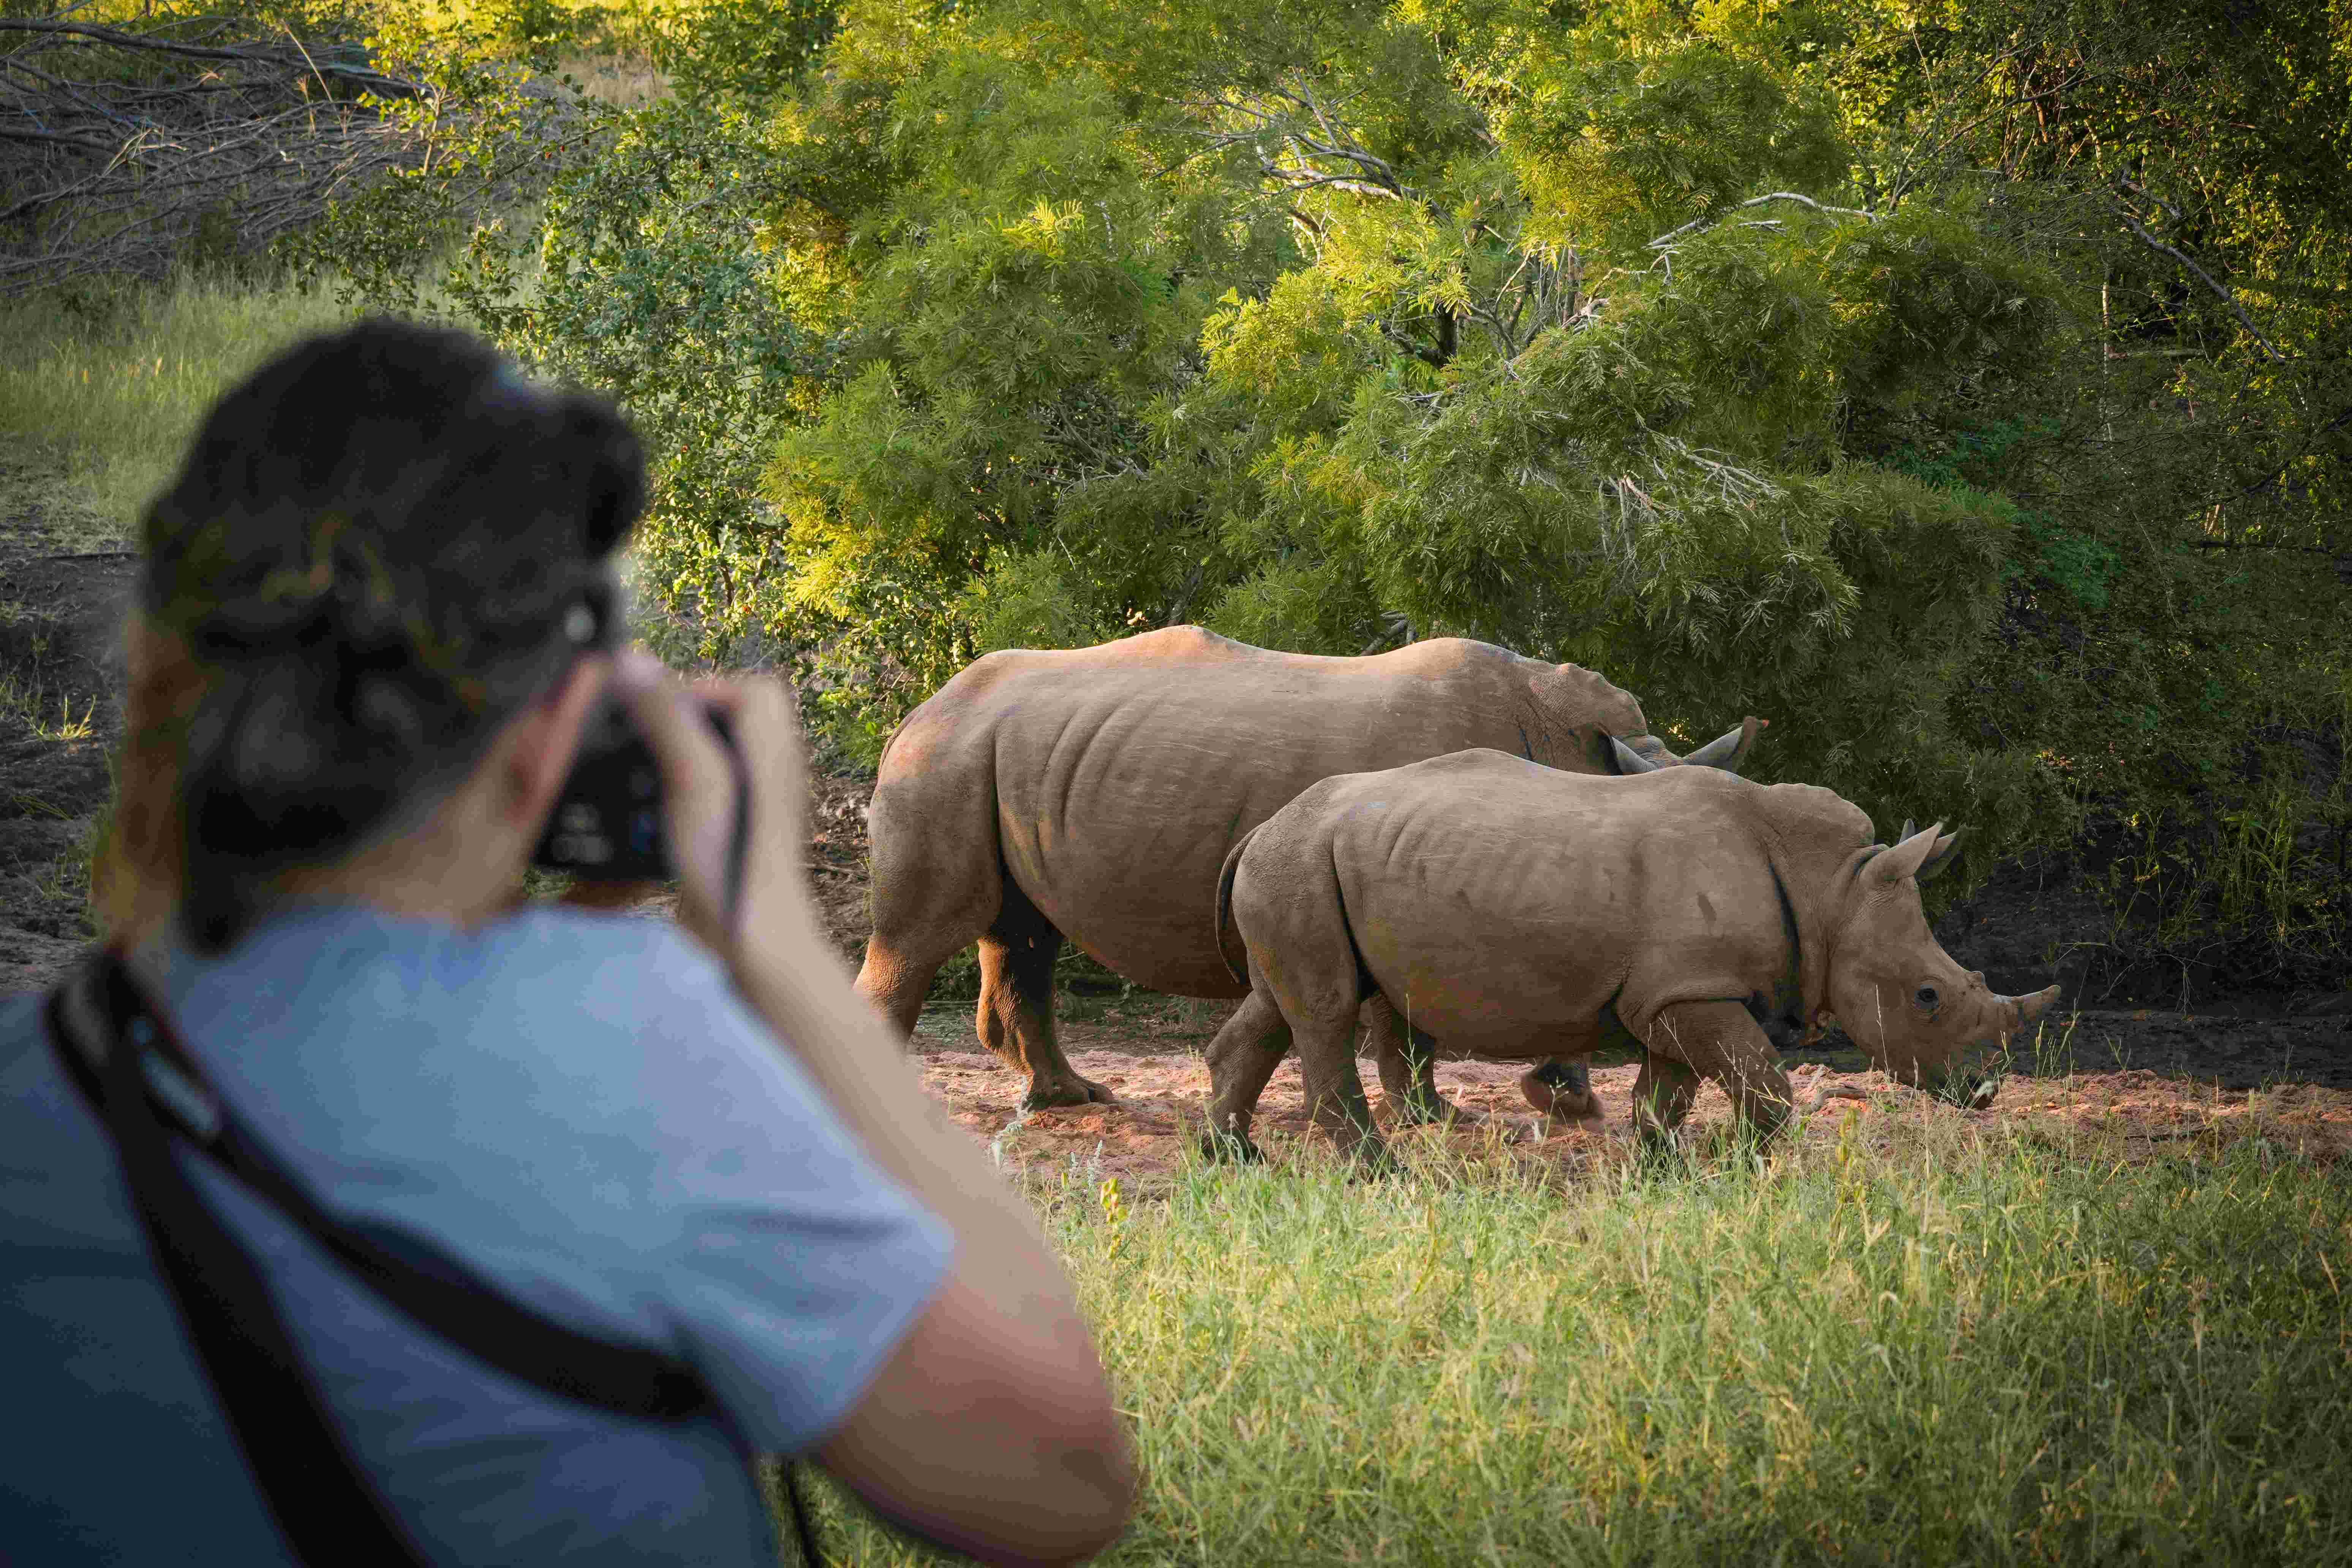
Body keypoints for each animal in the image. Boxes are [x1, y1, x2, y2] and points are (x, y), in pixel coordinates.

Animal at [855, 626, 1762, 1111]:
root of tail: (923, 705)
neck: (1578, 762)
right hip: (941, 761)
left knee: (1024, 933)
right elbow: (1407, 1018)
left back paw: (1069, 1100)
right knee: (923, 936)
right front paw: (1438, 1116)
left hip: (1004, 758)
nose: (1570, 1100)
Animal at [1206, 749, 2060, 1162]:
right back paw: (1383, 1175)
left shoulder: (1676, 991)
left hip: (1302, 861)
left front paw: (1662, 1170)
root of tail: (1262, 827)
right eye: (1927, 996)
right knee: (1324, 1012)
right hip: (1299, 859)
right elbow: (1765, 1085)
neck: (1833, 890)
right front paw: (1736, 1164)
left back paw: (1233, 1158)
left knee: (1280, 1007)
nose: (1985, 1092)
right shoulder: (1694, 990)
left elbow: (1667, 1091)